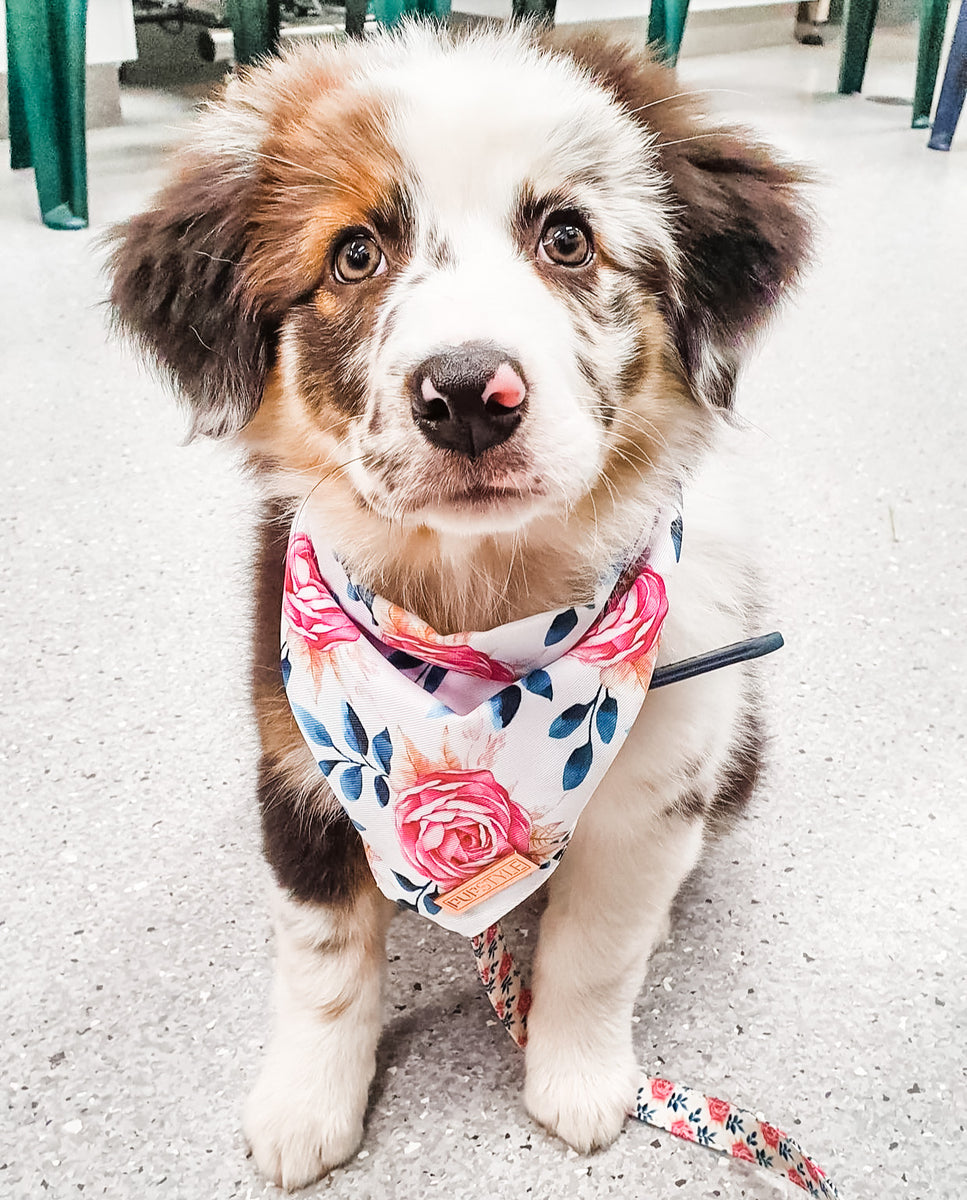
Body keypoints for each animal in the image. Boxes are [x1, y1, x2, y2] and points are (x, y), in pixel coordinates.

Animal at [109, 21, 815, 1190]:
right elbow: (322, 962)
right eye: (354, 254)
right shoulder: (296, 760)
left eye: (568, 238)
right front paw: (306, 1107)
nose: (468, 393)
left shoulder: (658, 788)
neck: (479, 632)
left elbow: (598, 951)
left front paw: (579, 1081)